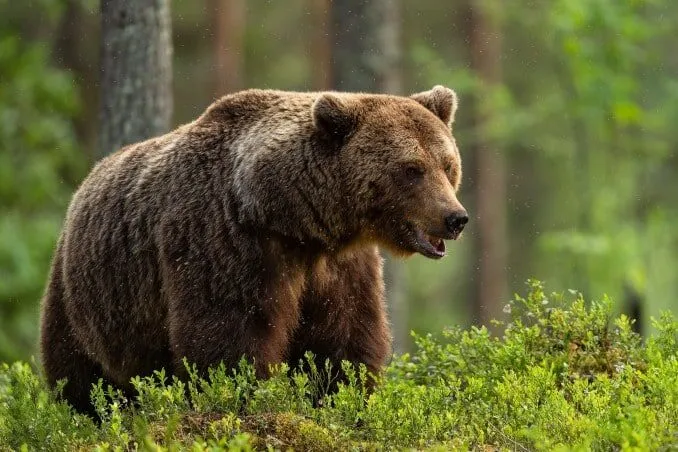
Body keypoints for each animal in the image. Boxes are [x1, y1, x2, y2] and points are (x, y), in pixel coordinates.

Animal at [39, 85, 468, 414]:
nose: (455, 218)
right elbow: (229, 332)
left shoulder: (338, 266)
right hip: (87, 296)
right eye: (412, 169)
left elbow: (344, 336)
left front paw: (340, 397)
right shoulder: (226, 240)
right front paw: (245, 396)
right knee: (78, 373)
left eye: (447, 165)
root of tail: (84, 184)